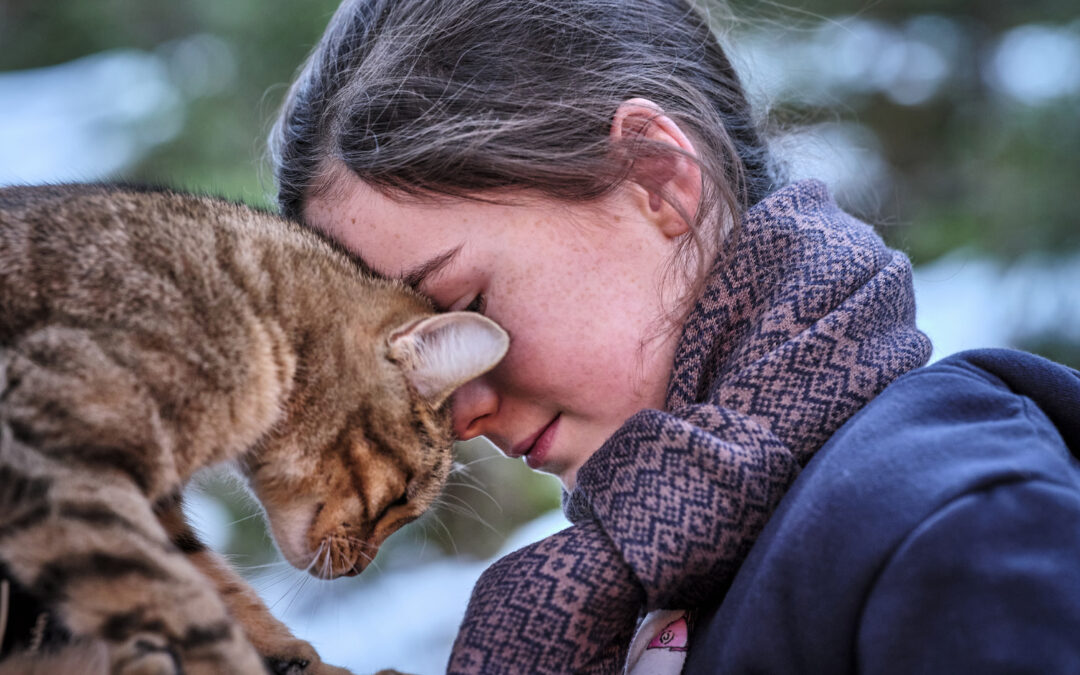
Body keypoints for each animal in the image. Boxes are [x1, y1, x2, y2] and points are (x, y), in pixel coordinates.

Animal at [0, 184, 509, 673]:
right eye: (403, 496)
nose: (357, 571)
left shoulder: (156, 507)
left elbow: (213, 585)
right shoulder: (60, 463)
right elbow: (180, 605)